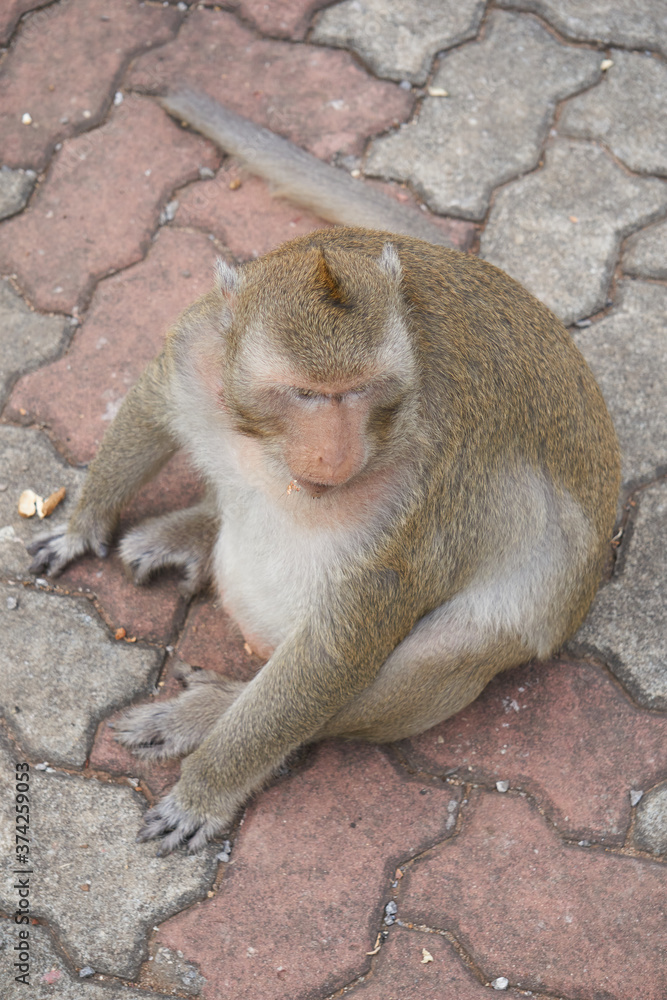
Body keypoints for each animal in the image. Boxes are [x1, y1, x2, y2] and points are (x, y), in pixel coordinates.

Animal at [27, 93, 621, 854]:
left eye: (361, 390)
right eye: (306, 394)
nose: (334, 454)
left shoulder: (421, 495)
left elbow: (338, 655)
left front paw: (206, 786)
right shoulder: (201, 348)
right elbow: (153, 406)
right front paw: (81, 524)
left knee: (424, 664)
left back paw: (212, 709)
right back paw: (193, 533)